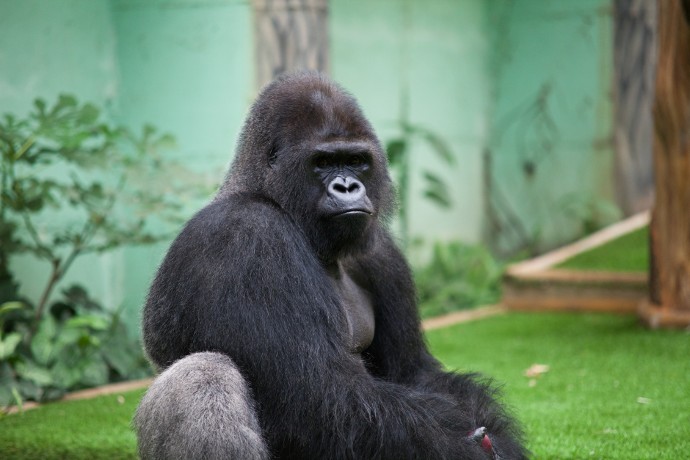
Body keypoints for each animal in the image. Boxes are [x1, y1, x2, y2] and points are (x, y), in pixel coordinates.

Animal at [134, 72, 524, 460]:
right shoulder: (245, 235)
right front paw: (464, 447)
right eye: (321, 163)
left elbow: (414, 372)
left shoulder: (381, 254)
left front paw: (497, 438)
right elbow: (321, 398)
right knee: (203, 372)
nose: (347, 186)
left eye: (356, 160)